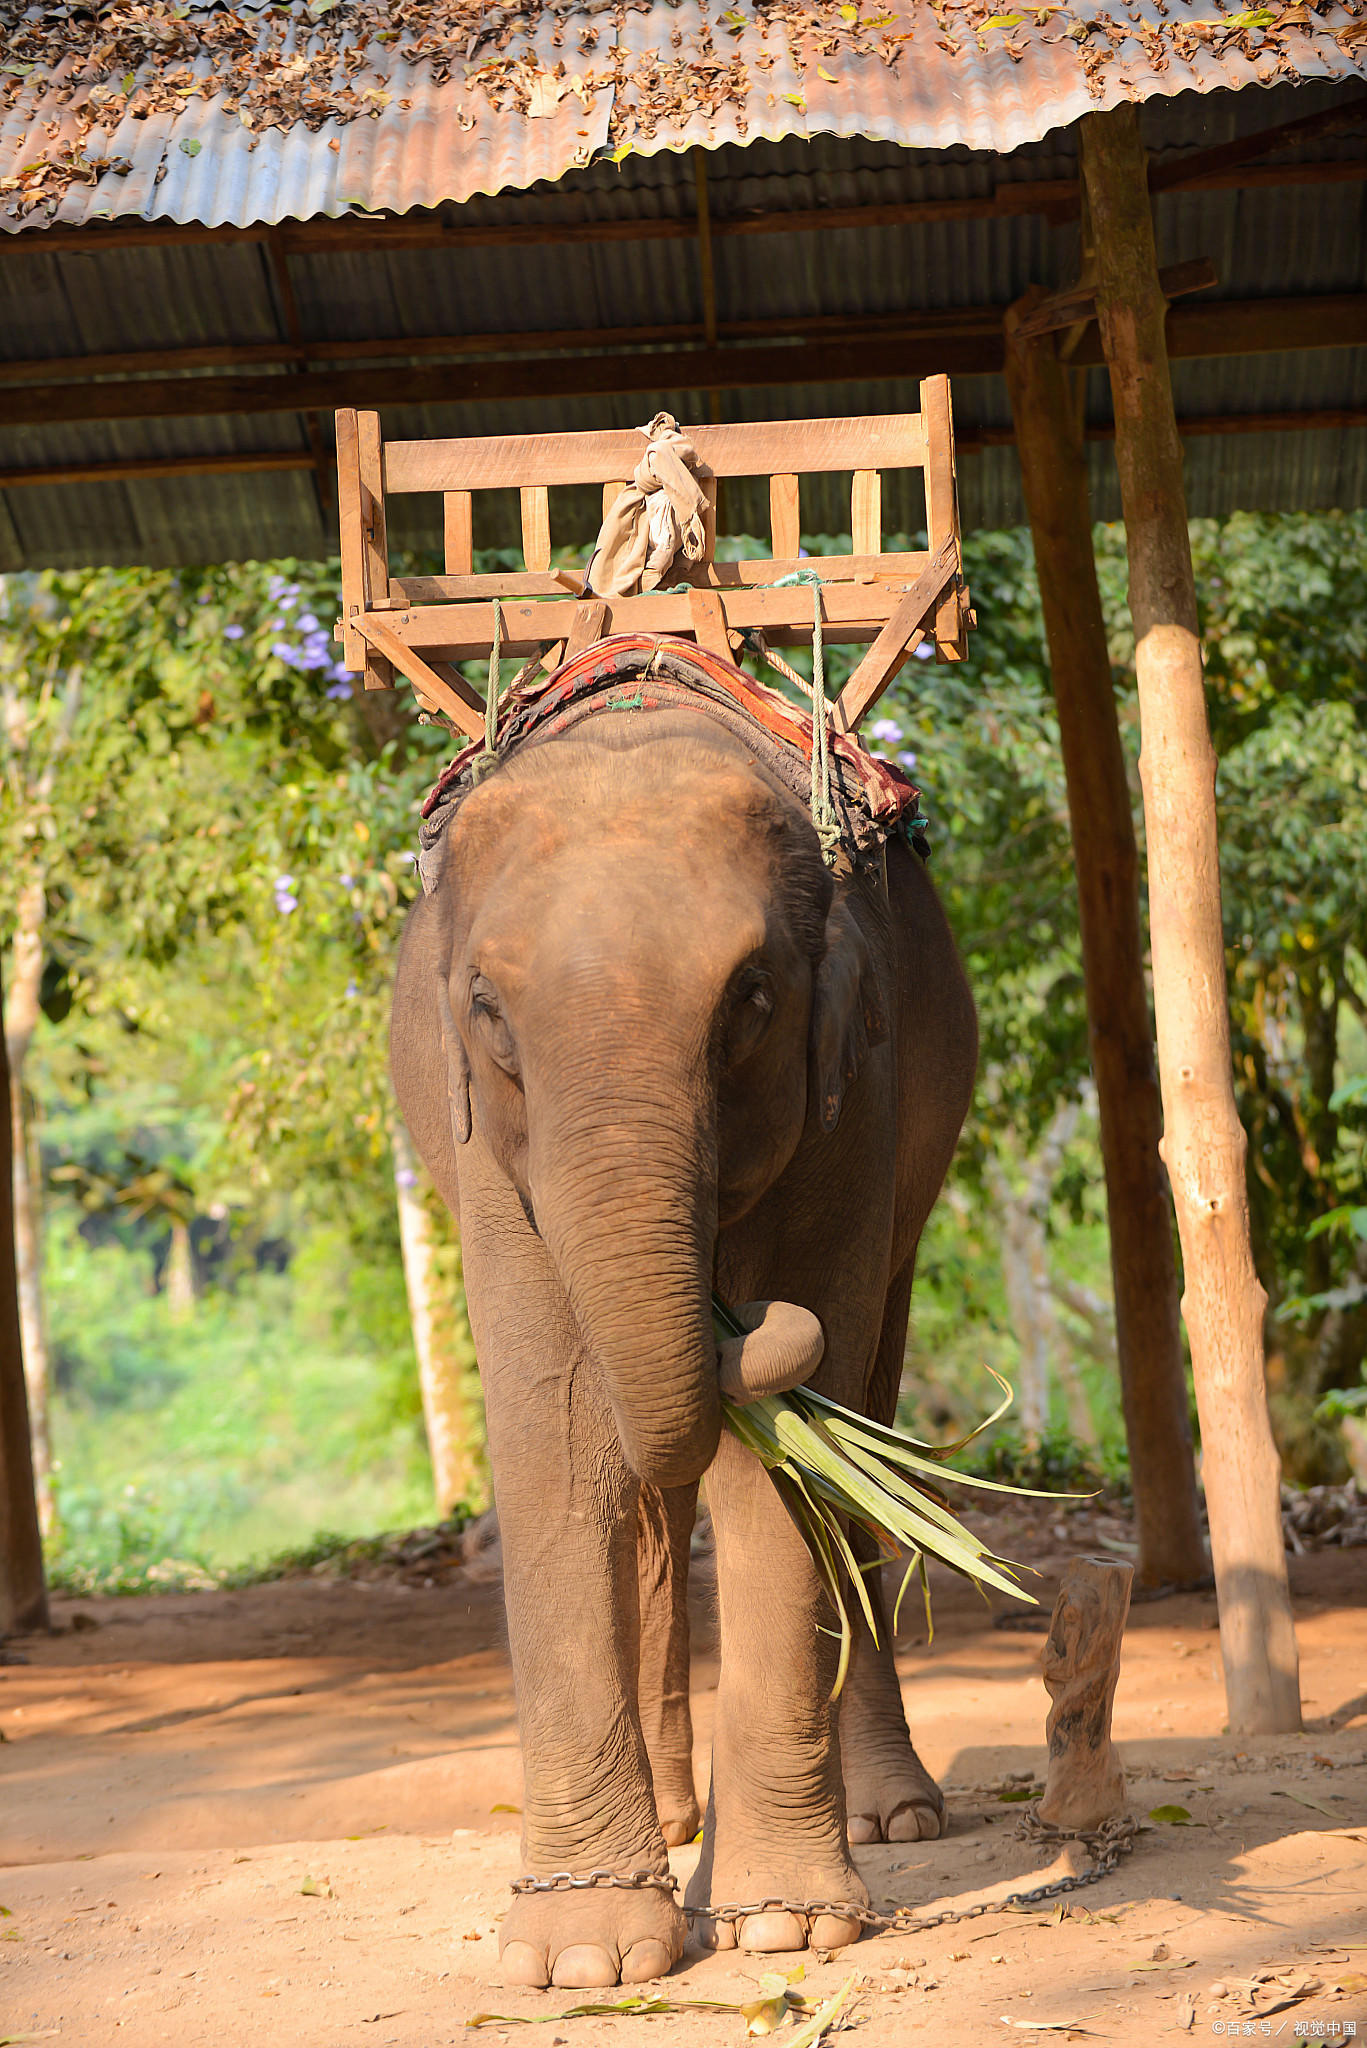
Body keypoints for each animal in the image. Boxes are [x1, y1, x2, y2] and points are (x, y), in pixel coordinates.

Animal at [389, 634, 979, 1982]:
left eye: (750, 996)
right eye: (488, 1009)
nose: (737, 1315)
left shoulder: (853, 1091)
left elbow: (789, 1472)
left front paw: (778, 1921)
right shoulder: (487, 1146)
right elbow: (558, 1434)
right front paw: (582, 1956)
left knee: (866, 1414)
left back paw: (892, 1814)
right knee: (645, 1487)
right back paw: (666, 1820)